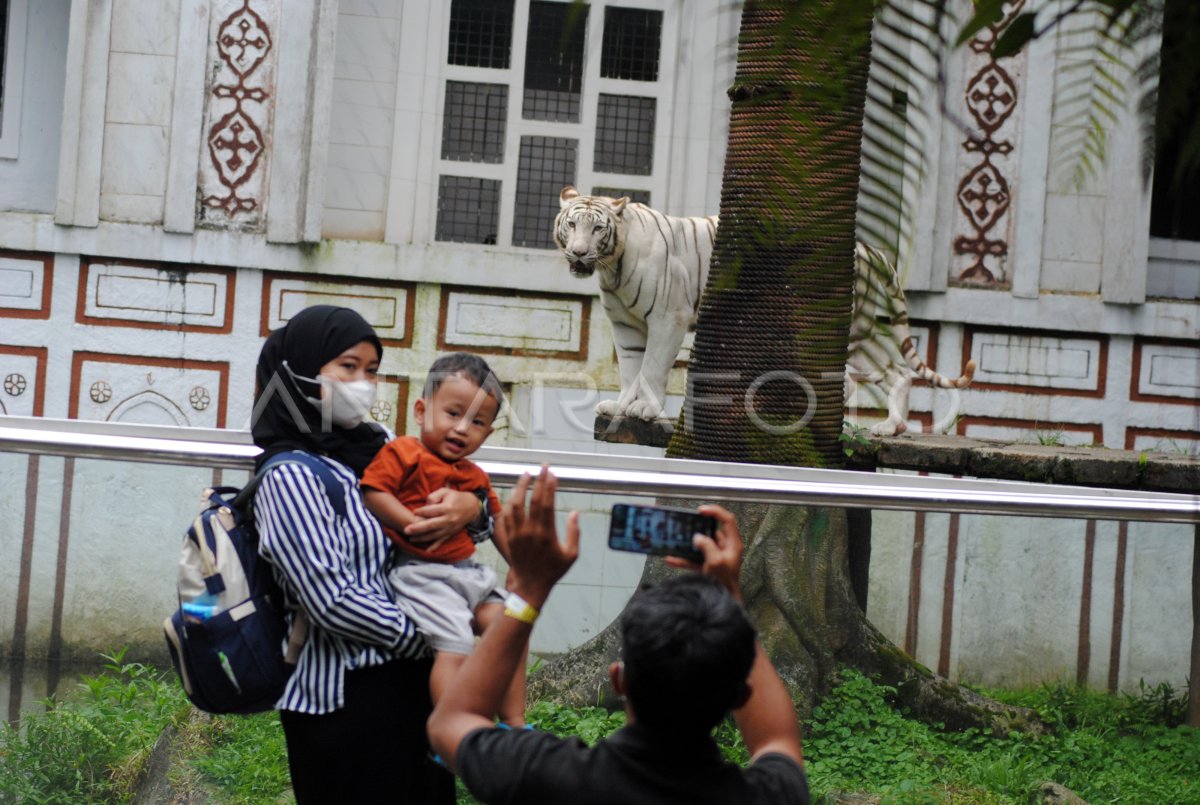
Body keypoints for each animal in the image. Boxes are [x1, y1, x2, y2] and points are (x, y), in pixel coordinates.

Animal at [554, 187, 974, 434]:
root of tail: (868, 249)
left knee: (857, 377)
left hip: (829, 326)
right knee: (896, 371)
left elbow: (652, 369)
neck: (612, 264)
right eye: (571, 224)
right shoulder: (625, 324)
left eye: (597, 229)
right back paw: (891, 428)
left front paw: (647, 409)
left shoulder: (667, 319)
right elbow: (630, 369)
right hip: (858, 331)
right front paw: (621, 407)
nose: (577, 253)